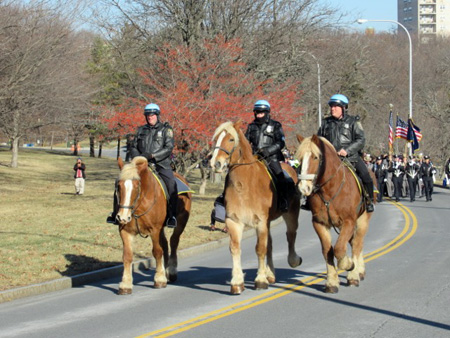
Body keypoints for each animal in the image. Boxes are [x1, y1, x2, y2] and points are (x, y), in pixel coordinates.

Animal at [115, 157, 191, 294]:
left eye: (136, 186)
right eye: (119, 185)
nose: (122, 217)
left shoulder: (155, 230)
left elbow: (157, 251)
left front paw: (159, 279)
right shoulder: (125, 231)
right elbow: (127, 256)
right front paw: (126, 284)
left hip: (180, 222)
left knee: (173, 242)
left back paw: (171, 271)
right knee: (165, 244)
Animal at [211, 121, 302, 294]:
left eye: (231, 139)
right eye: (216, 138)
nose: (215, 163)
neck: (244, 183)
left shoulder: (260, 222)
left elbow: (260, 248)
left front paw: (260, 280)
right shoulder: (234, 221)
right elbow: (235, 248)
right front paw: (237, 282)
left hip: (291, 213)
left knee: (291, 234)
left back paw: (293, 260)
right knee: (270, 245)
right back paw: (270, 274)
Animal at [296, 135, 376, 294]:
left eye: (315, 157)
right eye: (300, 158)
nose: (303, 188)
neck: (330, 188)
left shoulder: (349, 221)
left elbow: (339, 249)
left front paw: (349, 266)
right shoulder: (319, 223)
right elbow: (328, 250)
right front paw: (332, 282)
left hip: (362, 220)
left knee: (357, 244)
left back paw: (355, 273)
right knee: (353, 243)